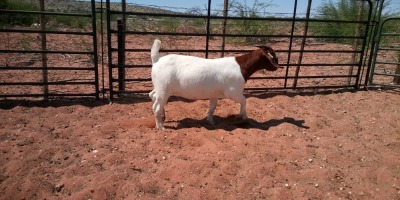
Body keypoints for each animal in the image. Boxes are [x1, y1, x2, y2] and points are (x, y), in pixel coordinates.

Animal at [148, 39, 282, 130]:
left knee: (152, 95)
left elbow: (212, 107)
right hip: (164, 89)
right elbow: (244, 100)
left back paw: (163, 116)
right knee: (156, 106)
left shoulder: (214, 94)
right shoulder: (233, 92)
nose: (277, 67)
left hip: (160, 87)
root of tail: (157, 60)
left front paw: (211, 121)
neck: (241, 67)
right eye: (273, 56)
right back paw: (160, 126)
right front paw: (243, 117)